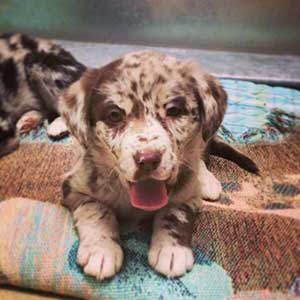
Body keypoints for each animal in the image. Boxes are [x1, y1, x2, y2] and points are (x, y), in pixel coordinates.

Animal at [59, 50, 258, 280]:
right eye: (114, 115)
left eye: (174, 111)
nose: (148, 159)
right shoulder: (74, 186)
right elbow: (97, 209)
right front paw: (101, 250)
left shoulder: (189, 196)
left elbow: (174, 214)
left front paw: (171, 250)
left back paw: (208, 181)